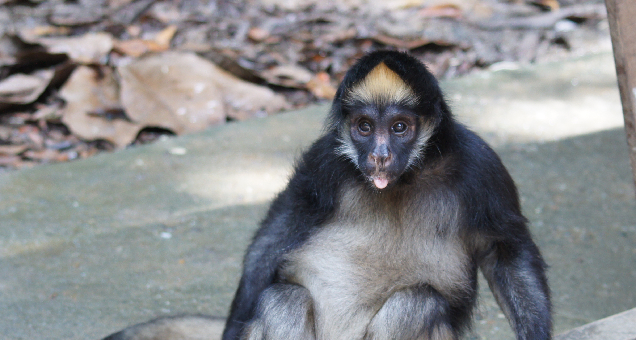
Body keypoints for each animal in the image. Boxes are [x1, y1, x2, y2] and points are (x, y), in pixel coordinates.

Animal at [102, 51, 548, 340]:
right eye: (364, 127)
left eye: (400, 127)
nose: (379, 155)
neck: (404, 179)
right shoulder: (323, 164)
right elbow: (273, 237)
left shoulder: (480, 165)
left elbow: (506, 251)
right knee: (283, 298)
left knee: (415, 304)